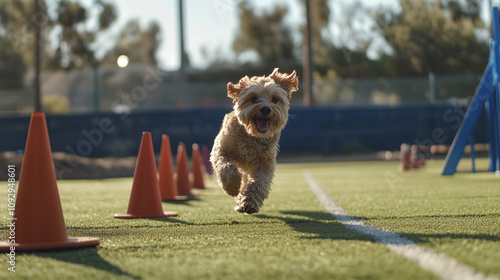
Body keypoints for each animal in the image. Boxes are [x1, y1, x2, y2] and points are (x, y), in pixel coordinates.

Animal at [210, 68, 296, 214]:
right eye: (253, 98)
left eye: (275, 99)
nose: (265, 109)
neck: (252, 136)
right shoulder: (220, 150)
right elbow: (225, 166)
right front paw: (232, 186)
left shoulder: (266, 163)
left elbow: (259, 183)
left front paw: (249, 202)